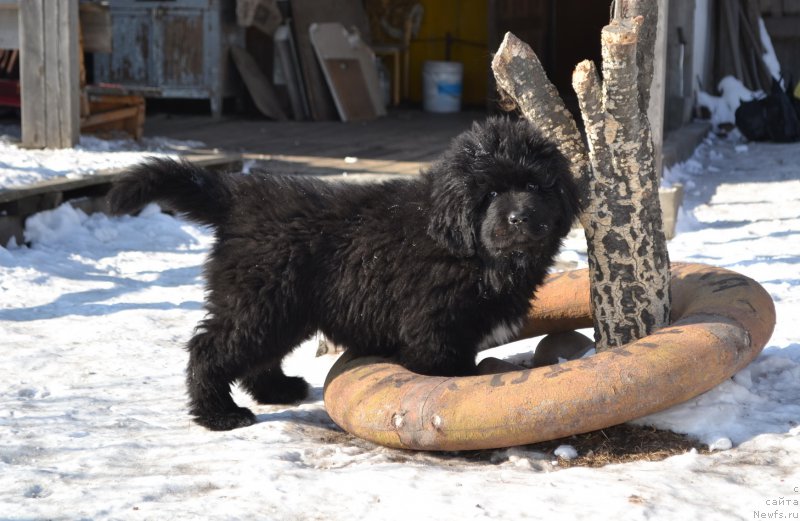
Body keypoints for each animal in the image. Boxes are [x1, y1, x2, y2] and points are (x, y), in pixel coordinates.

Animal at [108, 118, 580, 430]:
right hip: (261, 299)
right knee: (210, 347)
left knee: (255, 352)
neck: (471, 252)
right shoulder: (435, 328)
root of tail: (239, 195)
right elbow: (447, 376)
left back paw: (277, 390)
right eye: (492, 193)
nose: (521, 218)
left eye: (536, 187)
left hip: (283, 308)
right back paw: (218, 413)